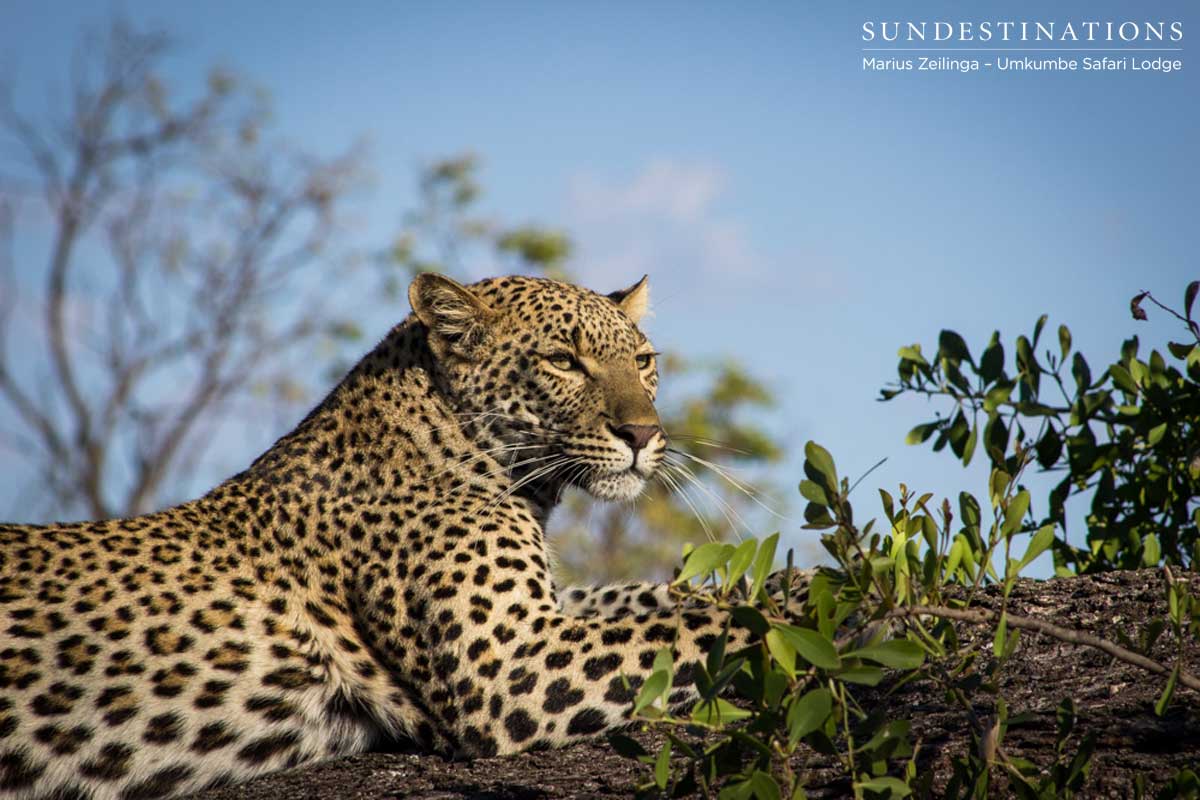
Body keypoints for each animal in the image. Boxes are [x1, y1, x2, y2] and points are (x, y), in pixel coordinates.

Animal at [0, 273, 770, 800]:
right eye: (562, 360)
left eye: (643, 361)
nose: (644, 435)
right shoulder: (510, 663)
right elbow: (689, 630)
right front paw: (789, 623)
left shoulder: (544, 610)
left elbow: (657, 596)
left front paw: (784, 586)